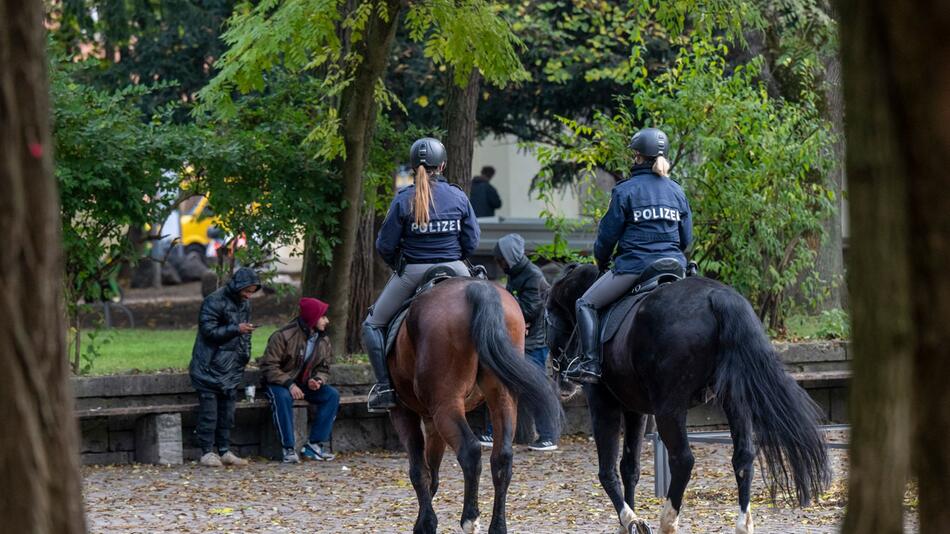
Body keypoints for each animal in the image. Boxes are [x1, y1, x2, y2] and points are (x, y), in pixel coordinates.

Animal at [388, 278, 564, 532]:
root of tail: (478, 289)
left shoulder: (404, 411)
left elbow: (419, 470)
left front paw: (425, 523)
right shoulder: (430, 420)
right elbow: (432, 469)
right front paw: (426, 516)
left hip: (446, 404)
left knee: (470, 450)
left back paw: (470, 518)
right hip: (501, 397)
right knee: (502, 457)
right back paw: (497, 526)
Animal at [548, 266, 828, 534]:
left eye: (548, 318)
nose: (560, 380)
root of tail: (718, 297)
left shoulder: (603, 403)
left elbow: (607, 470)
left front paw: (629, 519)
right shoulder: (635, 410)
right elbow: (630, 467)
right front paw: (626, 523)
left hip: (669, 409)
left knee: (683, 460)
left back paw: (668, 522)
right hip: (734, 401)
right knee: (743, 457)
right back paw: (743, 525)